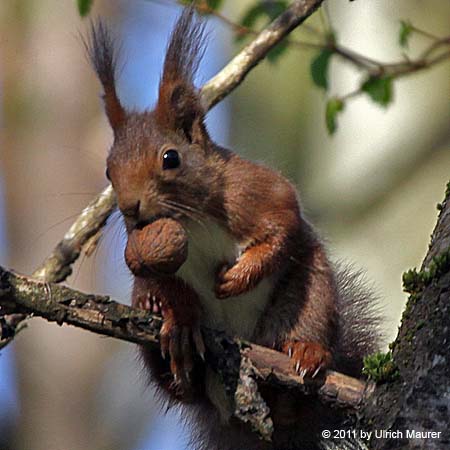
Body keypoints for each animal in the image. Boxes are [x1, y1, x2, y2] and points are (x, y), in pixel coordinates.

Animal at [86, 7, 382, 450]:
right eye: (109, 170)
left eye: (170, 158)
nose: (129, 209)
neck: (190, 219)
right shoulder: (144, 258)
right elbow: (158, 278)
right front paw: (180, 317)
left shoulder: (254, 191)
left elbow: (282, 225)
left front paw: (238, 277)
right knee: (180, 386)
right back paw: (168, 337)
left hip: (308, 294)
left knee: (306, 320)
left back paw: (307, 353)